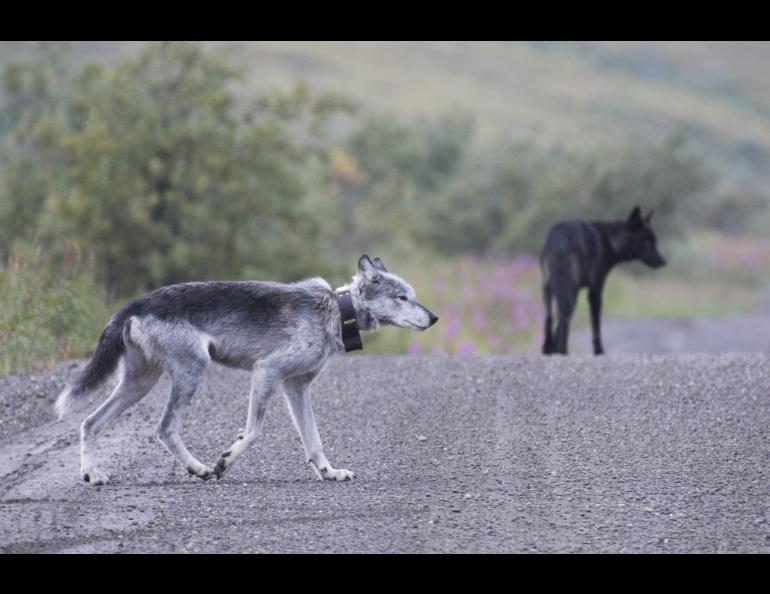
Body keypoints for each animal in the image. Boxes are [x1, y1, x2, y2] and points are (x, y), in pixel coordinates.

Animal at [53, 253, 436, 480]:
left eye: (414, 296)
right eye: (402, 298)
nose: (434, 318)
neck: (335, 310)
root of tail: (137, 302)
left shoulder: (296, 387)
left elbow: (314, 441)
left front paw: (329, 472)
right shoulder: (268, 372)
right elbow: (252, 432)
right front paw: (225, 460)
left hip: (139, 384)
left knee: (90, 423)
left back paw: (92, 474)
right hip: (191, 372)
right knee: (163, 428)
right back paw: (200, 468)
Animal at [536, 206, 664, 354]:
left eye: (655, 242)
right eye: (647, 242)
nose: (664, 261)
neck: (610, 240)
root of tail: (559, 240)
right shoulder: (595, 292)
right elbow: (596, 326)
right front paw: (599, 351)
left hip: (548, 291)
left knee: (550, 319)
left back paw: (548, 349)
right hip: (570, 294)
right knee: (563, 320)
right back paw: (562, 351)